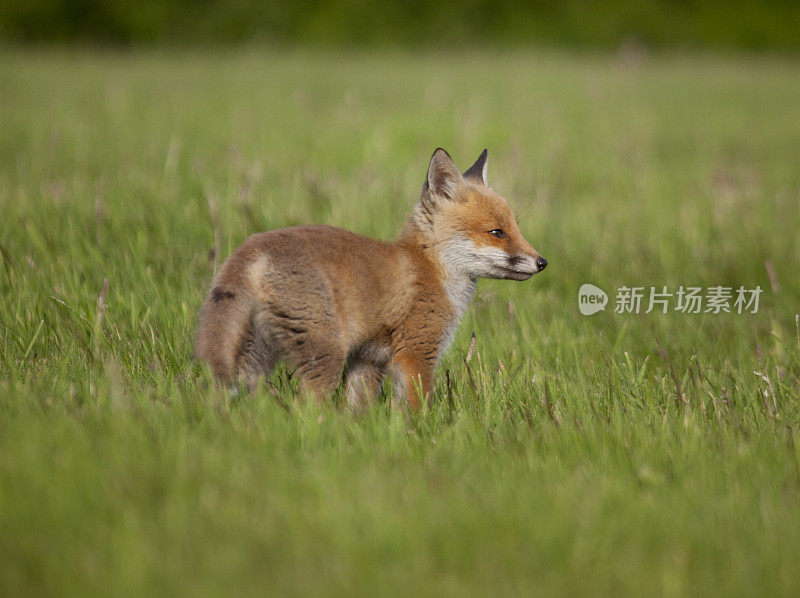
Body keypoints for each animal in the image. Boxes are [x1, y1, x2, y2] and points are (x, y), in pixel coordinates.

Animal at [195, 150, 548, 410]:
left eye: (515, 227)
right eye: (497, 232)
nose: (542, 262)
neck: (431, 268)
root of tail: (251, 248)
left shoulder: (368, 361)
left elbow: (357, 411)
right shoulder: (415, 352)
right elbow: (416, 412)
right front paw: (421, 439)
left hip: (256, 360)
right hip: (326, 354)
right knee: (308, 409)